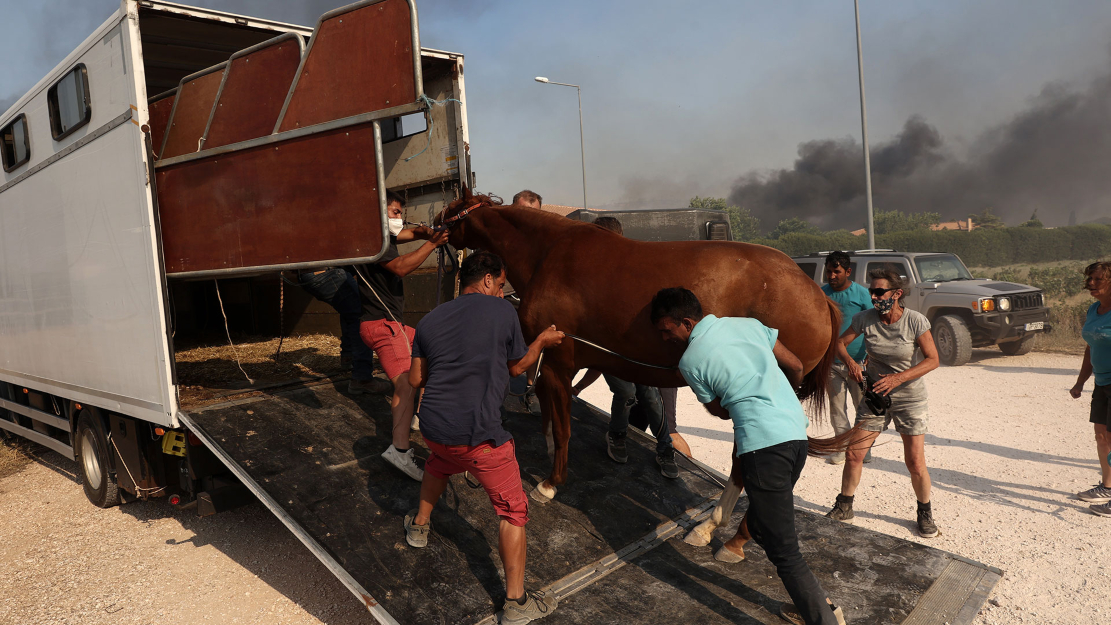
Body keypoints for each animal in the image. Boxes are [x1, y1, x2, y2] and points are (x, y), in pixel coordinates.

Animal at [433, 192, 848, 548]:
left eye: (452, 207)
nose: (429, 226)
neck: (547, 252)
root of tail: (816, 293)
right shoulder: (557, 363)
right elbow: (552, 415)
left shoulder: (558, 362)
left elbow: (564, 427)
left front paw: (551, 483)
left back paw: (725, 534)